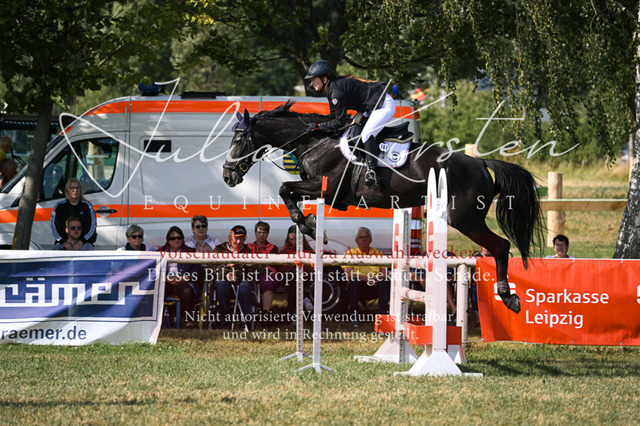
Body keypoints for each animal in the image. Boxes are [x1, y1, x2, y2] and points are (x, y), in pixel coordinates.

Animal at [223, 100, 544, 313]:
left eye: (239, 138)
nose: (227, 176)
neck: (314, 141)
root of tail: (480, 163)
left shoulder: (328, 189)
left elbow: (284, 188)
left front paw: (309, 224)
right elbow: (288, 191)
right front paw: (308, 223)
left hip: (464, 219)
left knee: (501, 246)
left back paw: (508, 296)